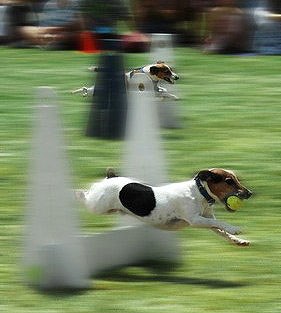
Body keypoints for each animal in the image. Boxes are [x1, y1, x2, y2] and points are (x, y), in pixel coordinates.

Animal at [76, 167, 252, 245]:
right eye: (229, 181)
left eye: (237, 179)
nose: (250, 193)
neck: (199, 193)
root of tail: (110, 177)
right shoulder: (195, 220)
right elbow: (219, 223)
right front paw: (234, 228)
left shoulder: (206, 219)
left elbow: (219, 229)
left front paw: (238, 240)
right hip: (96, 205)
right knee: (85, 194)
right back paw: (74, 192)